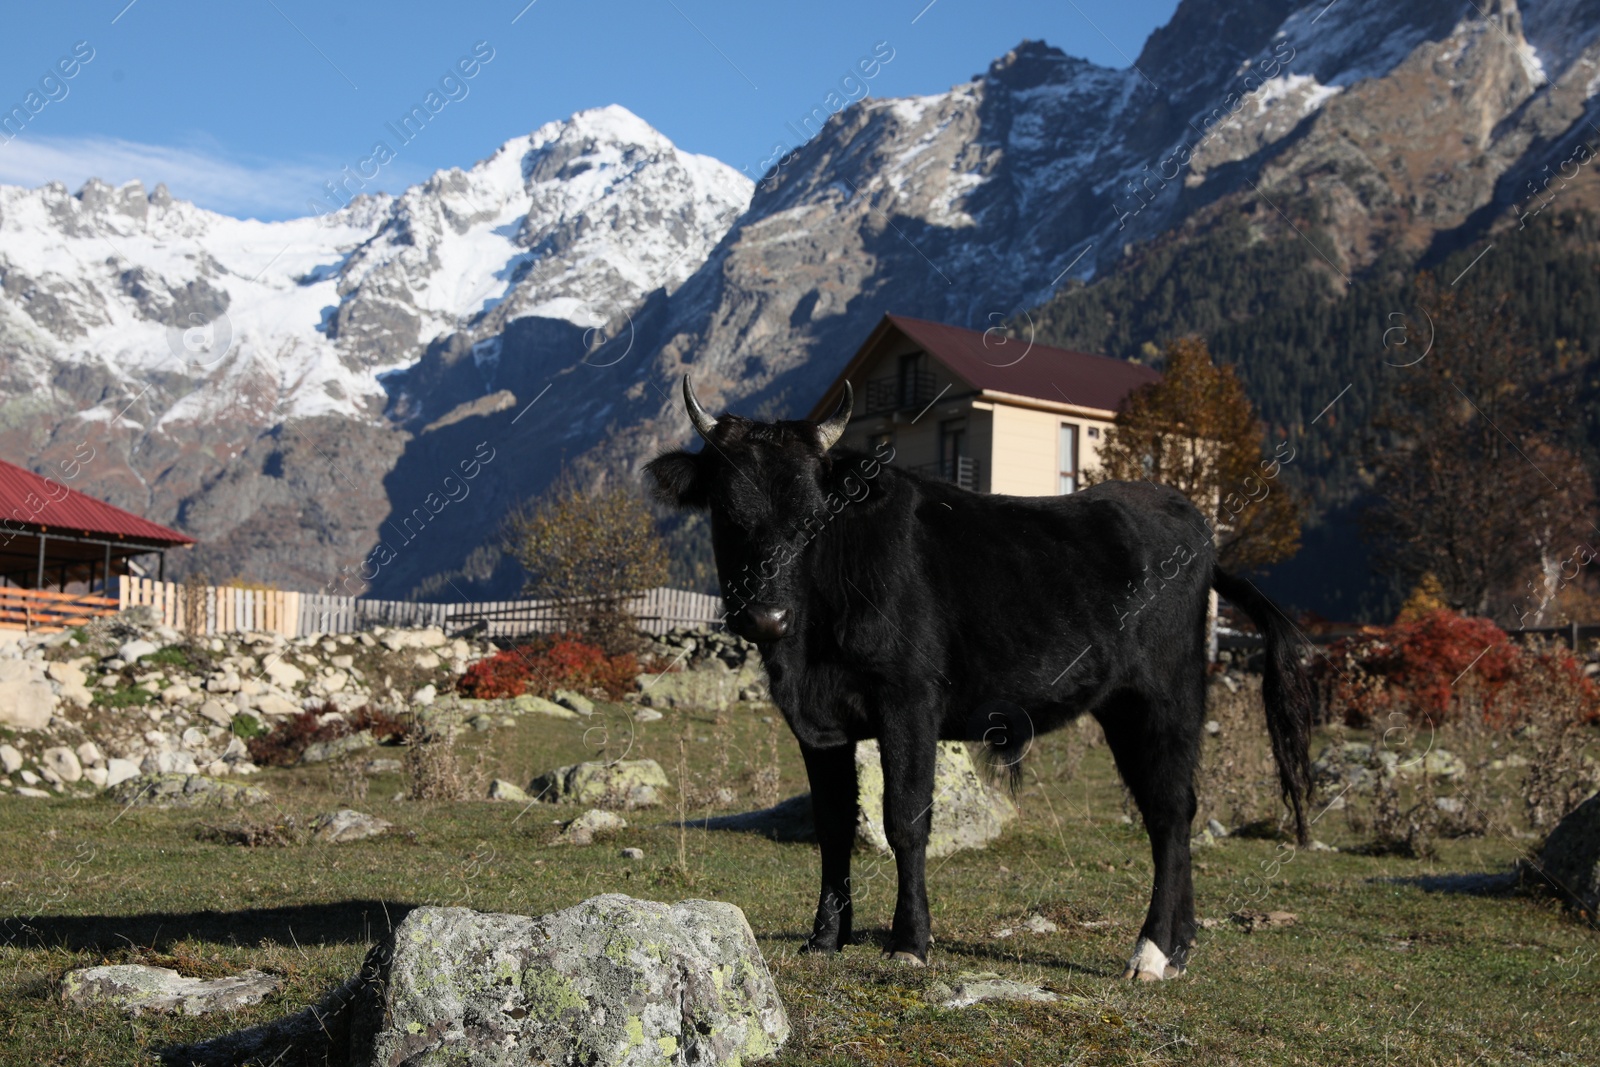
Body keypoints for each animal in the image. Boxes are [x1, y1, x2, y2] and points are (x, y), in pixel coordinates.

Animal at [649, 377, 1312, 985]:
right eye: (727, 513)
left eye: (814, 518)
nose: (767, 617)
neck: (809, 649)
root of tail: (1193, 524)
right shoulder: (818, 723)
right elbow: (833, 825)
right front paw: (825, 938)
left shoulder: (909, 699)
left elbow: (905, 819)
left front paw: (909, 943)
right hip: (1127, 708)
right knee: (1171, 810)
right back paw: (1180, 947)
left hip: (1163, 696)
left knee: (1170, 811)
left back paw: (1149, 952)